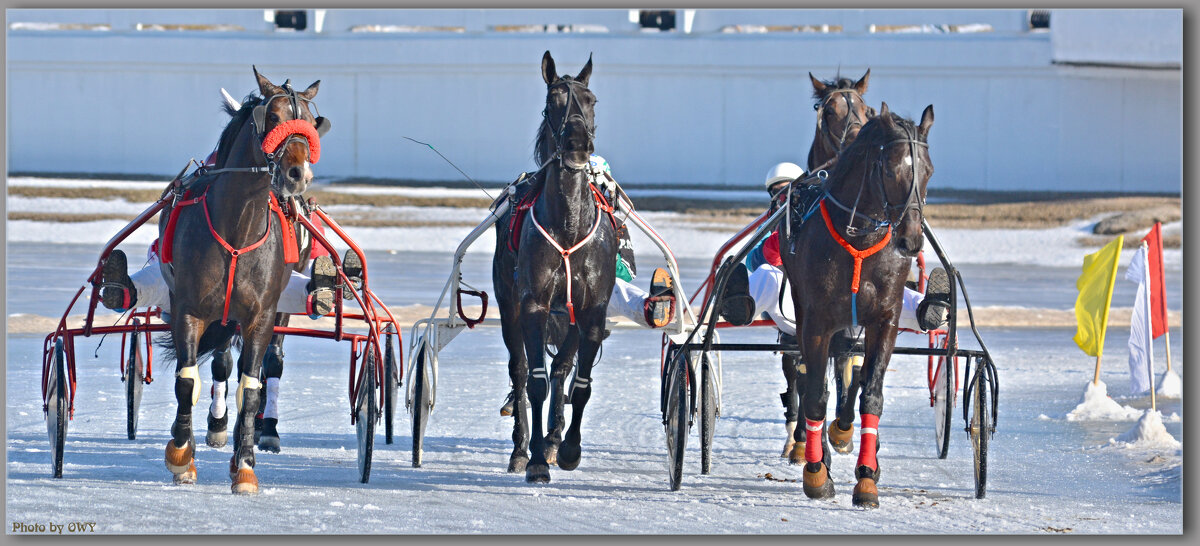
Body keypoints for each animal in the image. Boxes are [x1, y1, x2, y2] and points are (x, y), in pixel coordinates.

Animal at [158, 68, 324, 496]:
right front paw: (182, 456)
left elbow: (250, 387)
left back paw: (265, 430)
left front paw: (245, 465)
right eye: (274, 117)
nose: (297, 174)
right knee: (218, 362)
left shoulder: (261, 315)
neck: (238, 226)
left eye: (310, 121)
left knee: (269, 363)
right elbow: (187, 381)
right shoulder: (189, 308)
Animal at [492, 51, 614, 484]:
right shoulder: (532, 306)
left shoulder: (592, 309)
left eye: (592, 99)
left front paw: (567, 449)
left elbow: (579, 384)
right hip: (508, 304)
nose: (577, 144)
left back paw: (552, 439)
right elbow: (535, 382)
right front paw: (535, 461)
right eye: (553, 102)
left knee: (562, 368)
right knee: (520, 369)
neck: (567, 225)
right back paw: (522, 448)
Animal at [777, 102, 936, 508]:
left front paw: (866, 476)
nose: (912, 240)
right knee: (811, 377)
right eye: (890, 168)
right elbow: (816, 395)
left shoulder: (883, 319)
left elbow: (870, 395)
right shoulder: (817, 321)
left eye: (928, 170)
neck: (860, 239)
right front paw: (817, 473)